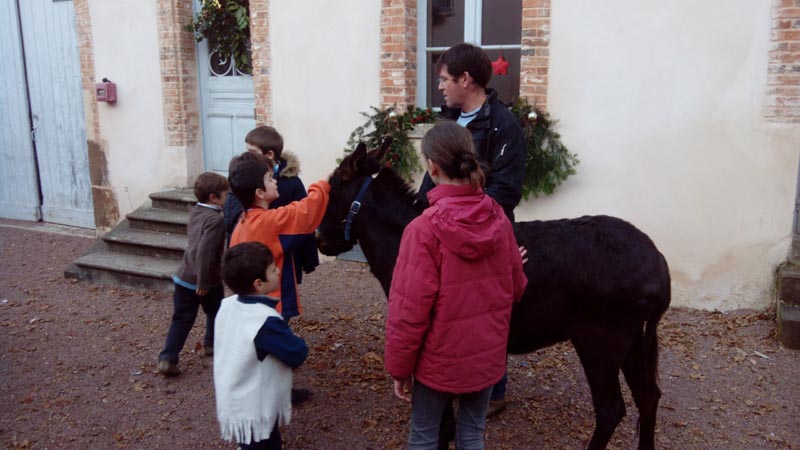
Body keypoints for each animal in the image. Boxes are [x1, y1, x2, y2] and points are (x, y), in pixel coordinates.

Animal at [316, 140, 671, 450]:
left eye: (331, 191)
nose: (320, 241)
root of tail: (657, 264)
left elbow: (441, 424)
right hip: (634, 341)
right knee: (649, 397)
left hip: (599, 342)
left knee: (611, 409)